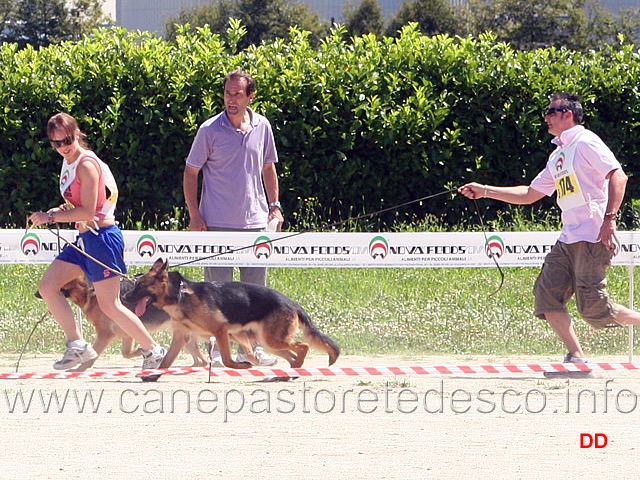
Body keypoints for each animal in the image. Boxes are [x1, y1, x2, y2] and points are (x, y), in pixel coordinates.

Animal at [53, 274, 208, 372]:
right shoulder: (127, 333)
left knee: (202, 360)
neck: (91, 291)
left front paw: (80, 368)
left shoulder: (105, 334)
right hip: (184, 337)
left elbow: (94, 353)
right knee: (202, 361)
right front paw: (142, 352)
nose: (39, 292)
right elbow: (125, 353)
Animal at [122, 258, 338, 368]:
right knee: (293, 352)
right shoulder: (182, 336)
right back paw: (293, 367)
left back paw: (297, 365)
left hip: (273, 339)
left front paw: (239, 366)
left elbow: (226, 359)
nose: (123, 298)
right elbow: (166, 362)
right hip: (269, 342)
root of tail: (292, 303)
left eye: (141, 285)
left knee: (303, 346)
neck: (180, 295)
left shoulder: (221, 331)